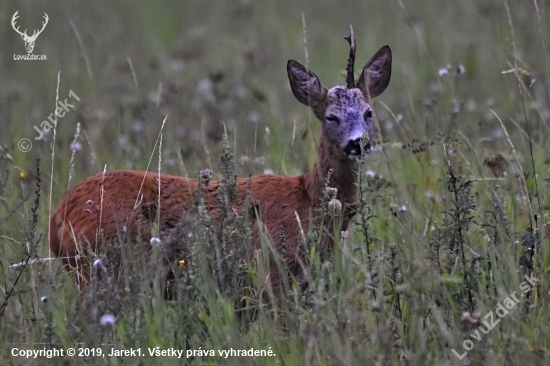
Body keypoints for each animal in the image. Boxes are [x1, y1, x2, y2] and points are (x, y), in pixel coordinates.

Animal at [48, 25, 392, 300]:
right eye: (331, 117)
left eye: (368, 113)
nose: (358, 142)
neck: (307, 200)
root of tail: (56, 219)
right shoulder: (272, 273)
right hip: (110, 268)